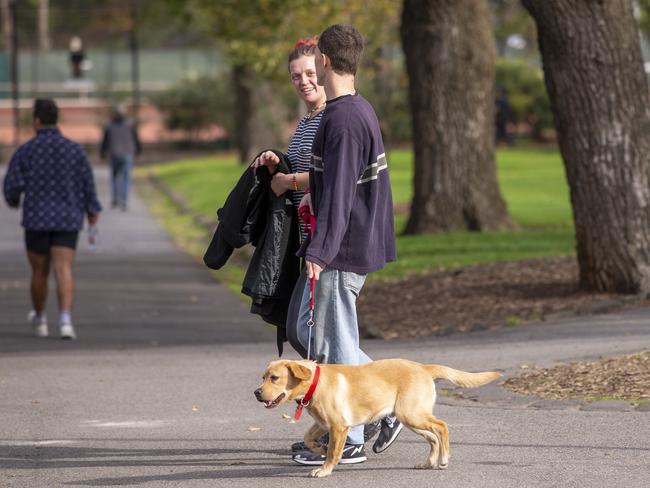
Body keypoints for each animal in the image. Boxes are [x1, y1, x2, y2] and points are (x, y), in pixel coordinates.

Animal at [256, 358, 498, 476]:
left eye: (274, 378)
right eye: (263, 377)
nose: (256, 392)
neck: (315, 382)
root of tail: (423, 367)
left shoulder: (338, 426)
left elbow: (334, 453)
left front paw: (324, 470)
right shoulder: (322, 423)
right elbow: (309, 439)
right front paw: (319, 449)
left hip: (413, 414)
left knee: (442, 427)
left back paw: (444, 459)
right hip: (411, 418)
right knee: (432, 438)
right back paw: (429, 463)